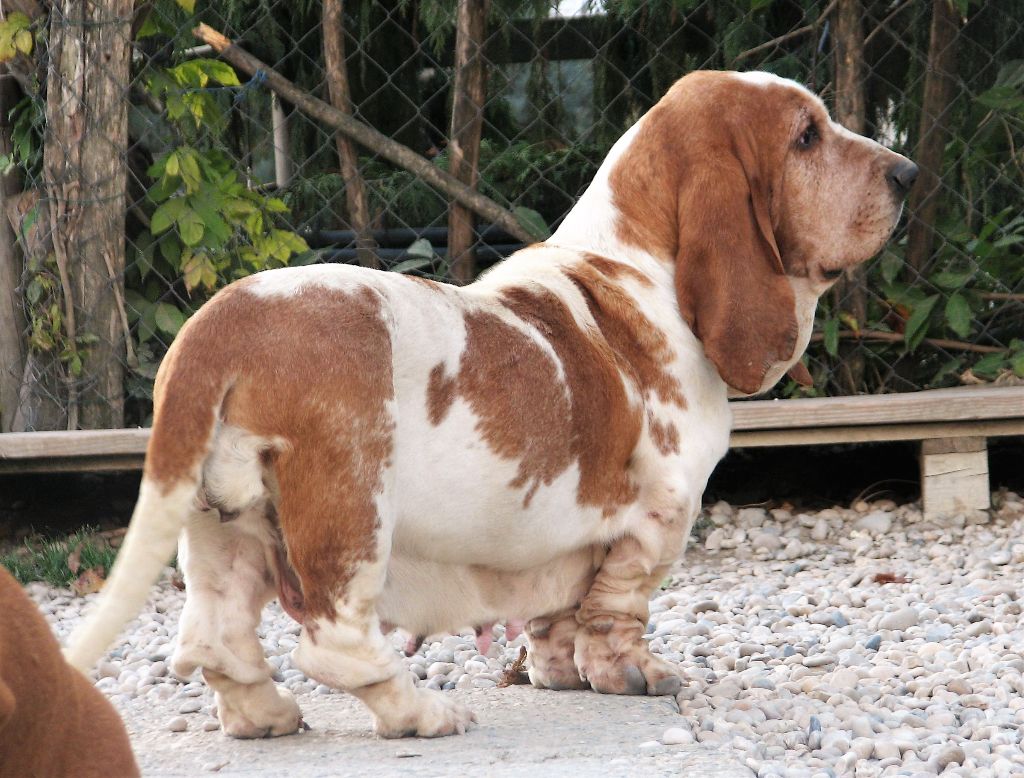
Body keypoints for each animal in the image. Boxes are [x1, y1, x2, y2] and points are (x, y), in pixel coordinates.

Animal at [64, 72, 917, 741]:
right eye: (806, 136)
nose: (907, 172)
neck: (637, 266)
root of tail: (221, 323)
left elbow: (557, 613)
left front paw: (555, 671)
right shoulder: (660, 516)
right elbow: (619, 610)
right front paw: (634, 675)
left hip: (219, 525)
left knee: (216, 642)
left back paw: (266, 718)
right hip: (350, 515)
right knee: (333, 645)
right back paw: (424, 715)